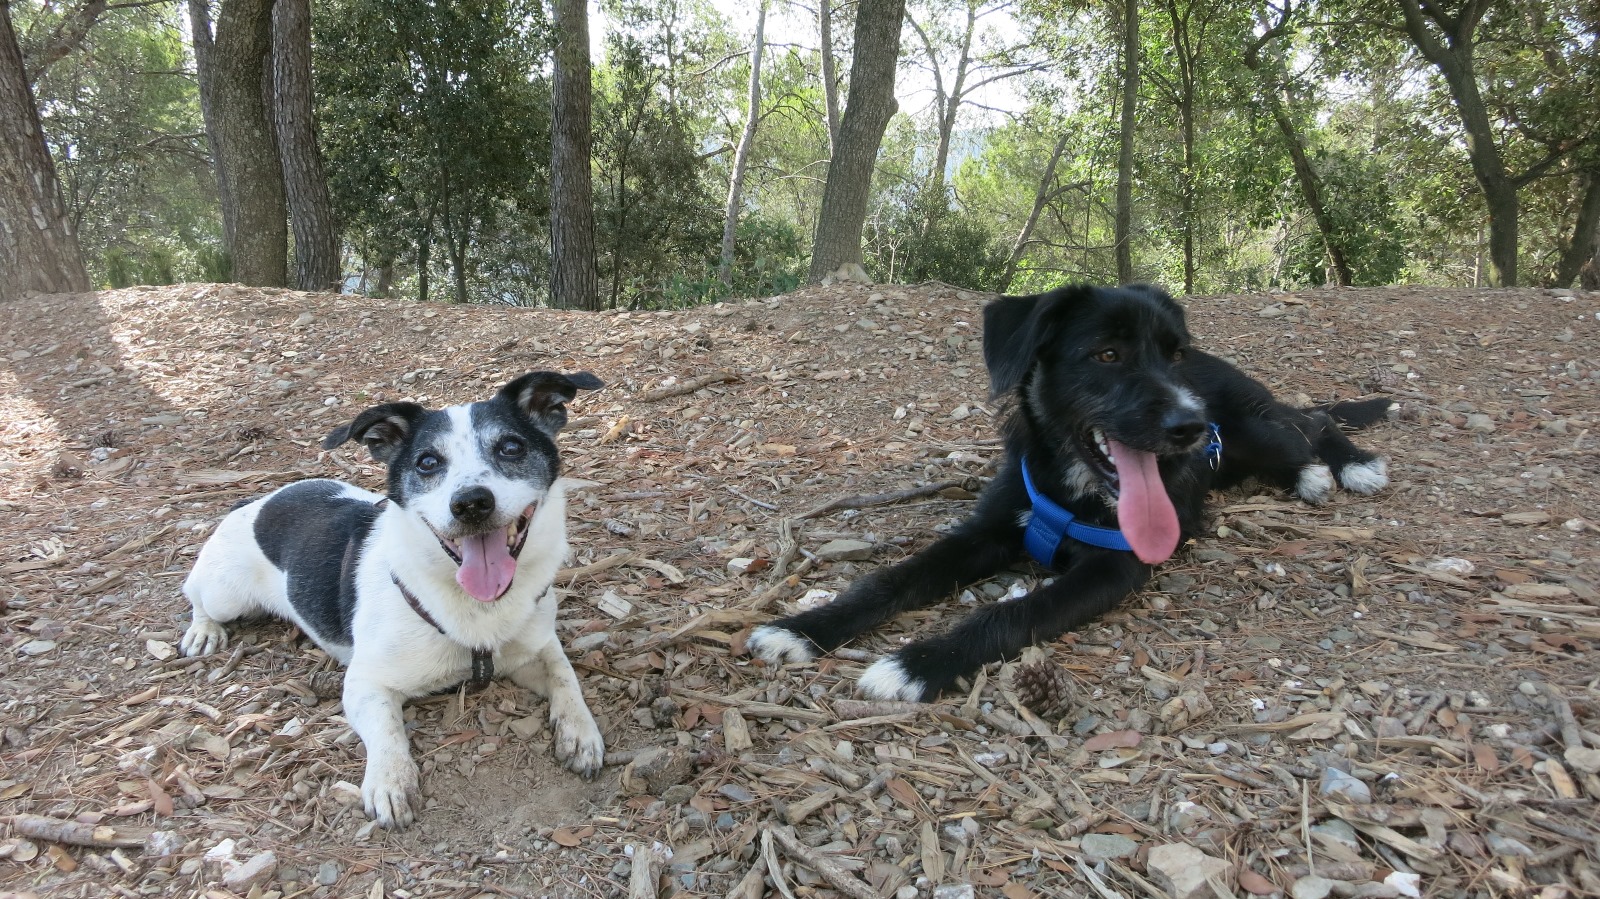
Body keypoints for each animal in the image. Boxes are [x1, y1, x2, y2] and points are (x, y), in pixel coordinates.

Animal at [181, 367, 604, 825]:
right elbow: (387, 730)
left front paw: (580, 731)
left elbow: (565, 674)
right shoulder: (366, 683)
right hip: (226, 592)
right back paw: (202, 631)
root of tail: (254, 500)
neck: (477, 607)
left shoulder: (536, 646)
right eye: (427, 462)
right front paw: (390, 780)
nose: (471, 503)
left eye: (511, 447)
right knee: (195, 593)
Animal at [745, 286, 1388, 700]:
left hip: (1249, 431)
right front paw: (803, 628)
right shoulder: (986, 532)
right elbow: (890, 579)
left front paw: (916, 664)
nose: (1190, 426)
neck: (1073, 489)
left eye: (1173, 354)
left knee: (1312, 422)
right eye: (1106, 354)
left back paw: (1347, 467)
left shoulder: (1114, 568)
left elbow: (1012, 612)